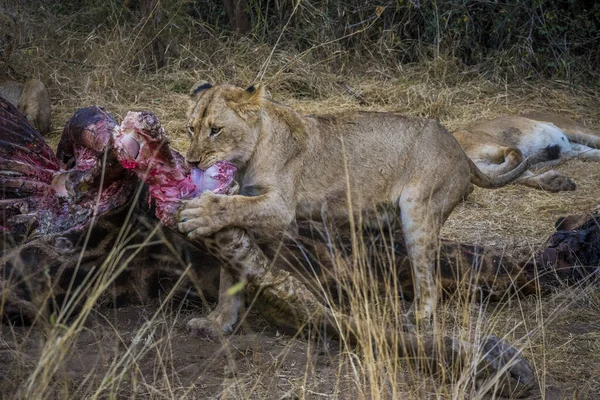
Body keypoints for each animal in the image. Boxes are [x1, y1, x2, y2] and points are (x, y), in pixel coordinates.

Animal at [176, 82, 548, 328]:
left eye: (216, 130)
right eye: (191, 128)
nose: (191, 161)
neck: (248, 156)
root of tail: (459, 149)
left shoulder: (281, 207)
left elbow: (231, 206)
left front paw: (197, 212)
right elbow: (230, 273)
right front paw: (218, 322)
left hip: (419, 209)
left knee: (428, 274)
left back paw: (419, 314)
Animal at [454, 111, 600, 192]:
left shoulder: (496, 147)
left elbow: (515, 158)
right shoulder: (486, 171)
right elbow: (520, 175)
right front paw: (557, 182)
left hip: (576, 130)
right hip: (580, 150)